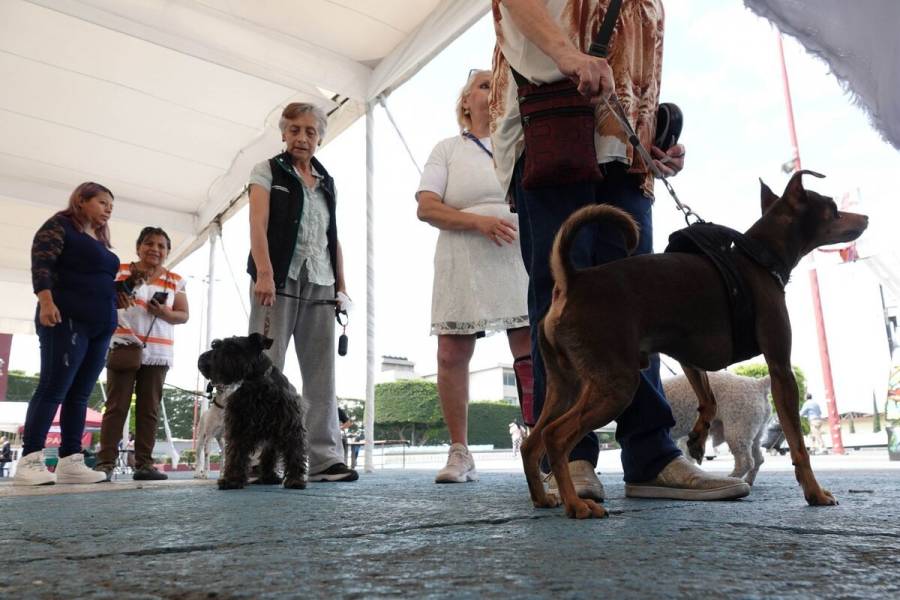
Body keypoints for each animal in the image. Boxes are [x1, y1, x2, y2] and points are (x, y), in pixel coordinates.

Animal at [197, 330, 310, 490]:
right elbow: (236, 453)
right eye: (215, 345)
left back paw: (270, 477)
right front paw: (232, 479)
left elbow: (295, 453)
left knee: (270, 455)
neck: (256, 382)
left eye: (231, 347)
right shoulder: (238, 425)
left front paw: (295, 480)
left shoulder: (291, 428)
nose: (201, 360)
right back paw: (267, 477)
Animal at [524, 171, 868, 516]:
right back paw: (576, 504)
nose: (865, 217)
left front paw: (697, 440)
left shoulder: (691, 356)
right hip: (615, 385)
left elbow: (709, 400)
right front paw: (815, 492)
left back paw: (543, 498)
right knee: (555, 437)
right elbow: (798, 444)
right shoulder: (780, 368)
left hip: (565, 385)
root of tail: (572, 281)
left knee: (531, 442)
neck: (758, 257)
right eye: (833, 209)